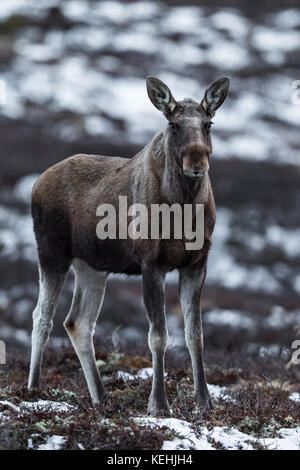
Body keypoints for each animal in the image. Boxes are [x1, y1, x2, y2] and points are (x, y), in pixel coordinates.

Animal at [28, 76, 230, 414]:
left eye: (209, 123)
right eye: (173, 124)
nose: (197, 161)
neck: (184, 207)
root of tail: (36, 184)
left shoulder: (196, 264)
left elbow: (196, 336)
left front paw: (204, 402)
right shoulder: (152, 264)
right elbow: (158, 337)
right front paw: (158, 404)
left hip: (92, 268)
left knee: (78, 322)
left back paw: (101, 397)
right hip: (51, 253)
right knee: (42, 317)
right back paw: (32, 389)